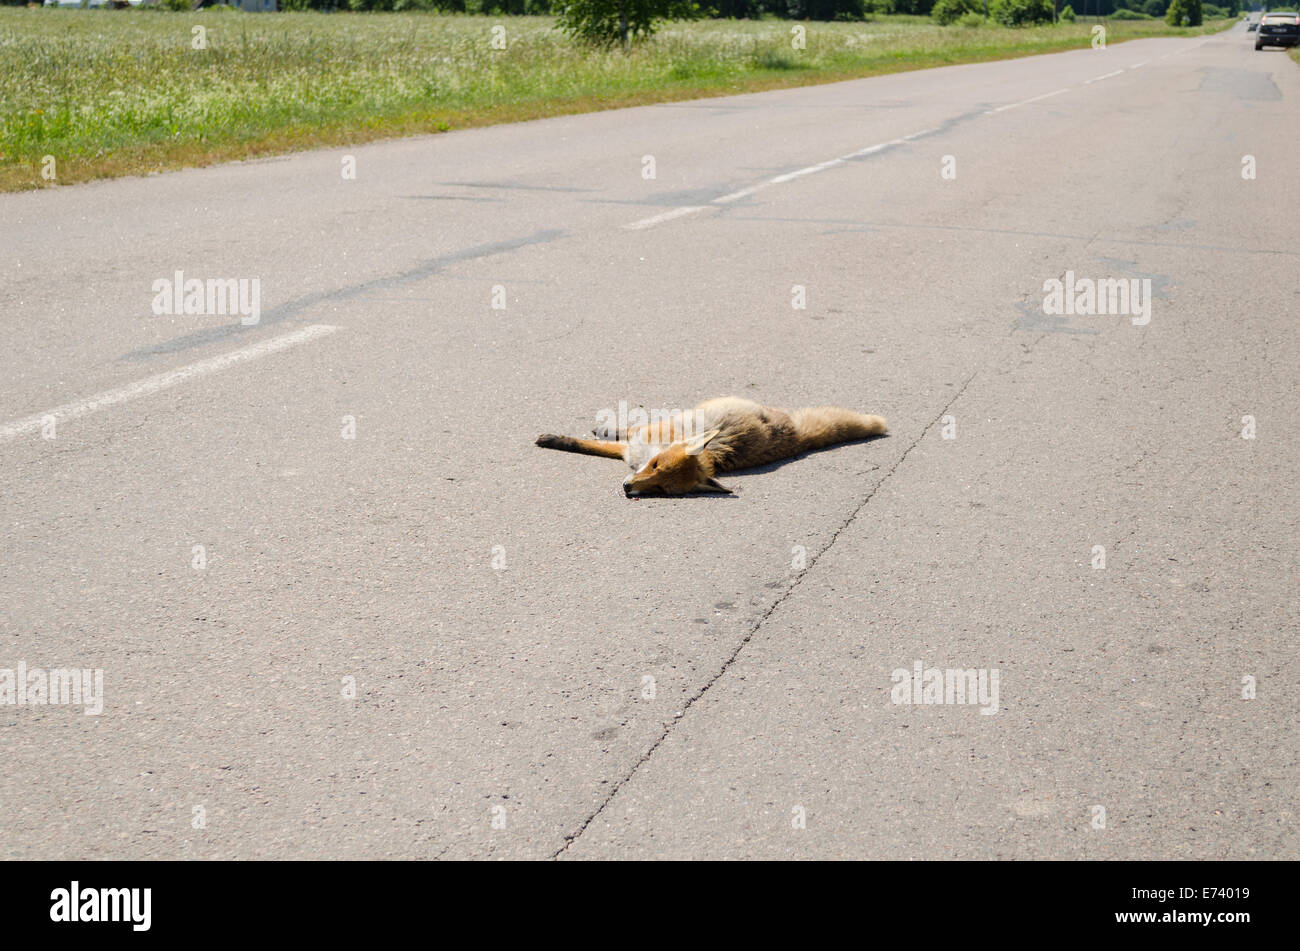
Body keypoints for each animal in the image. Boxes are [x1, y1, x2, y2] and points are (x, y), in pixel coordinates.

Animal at [535, 396, 887, 497]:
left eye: (661, 489)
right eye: (655, 466)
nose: (626, 488)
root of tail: (798, 436)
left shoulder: (630, 452)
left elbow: (591, 446)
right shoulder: (636, 443)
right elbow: (591, 443)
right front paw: (554, 440)